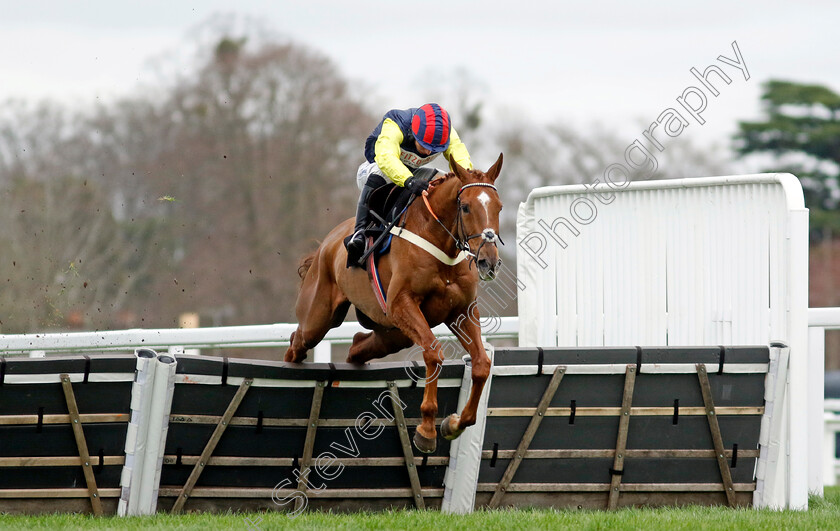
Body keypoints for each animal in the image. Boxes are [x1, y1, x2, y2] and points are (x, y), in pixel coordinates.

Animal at [286, 154, 502, 454]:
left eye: (499, 207)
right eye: (466, 207)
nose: (488, 261)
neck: (439, 241)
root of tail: (326, 245)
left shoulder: (462, 310)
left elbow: (482, 364)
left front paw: (456, 423)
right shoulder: (402, 305)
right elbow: (434, 354)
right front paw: (426, 429)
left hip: (393, 333)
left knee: (357, 346)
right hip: (318, 319)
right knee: (297, 341)